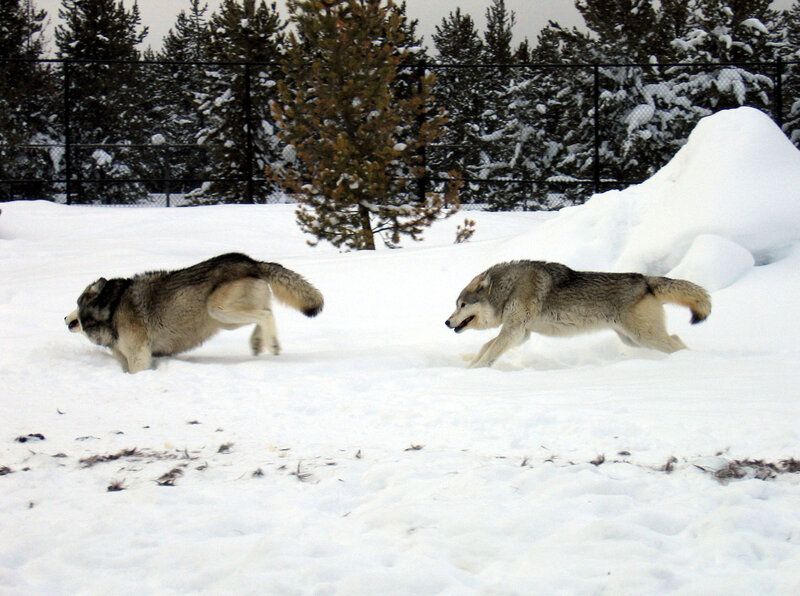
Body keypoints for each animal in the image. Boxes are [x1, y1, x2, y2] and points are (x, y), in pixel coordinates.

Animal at [65, 253, 323, 373]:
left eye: (77, 302)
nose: (65, 318)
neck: (111, 308)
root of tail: (251, 261)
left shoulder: (140, 356)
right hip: (225, 320)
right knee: (265, 312)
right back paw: (259, 343)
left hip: (218, 310)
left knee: (264, 315)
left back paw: (272, 345)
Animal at [445, 260, 711, 368]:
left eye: (462, 305)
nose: (447, 322)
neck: (509, 288)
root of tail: (646, 280)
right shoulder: (521, 333)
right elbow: (485, 347)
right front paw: (471, 364)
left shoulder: (513, 330)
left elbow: (490, 351)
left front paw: (474, 371)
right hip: (633, 340)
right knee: (676, 339)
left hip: (644, 337)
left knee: (676, 343)